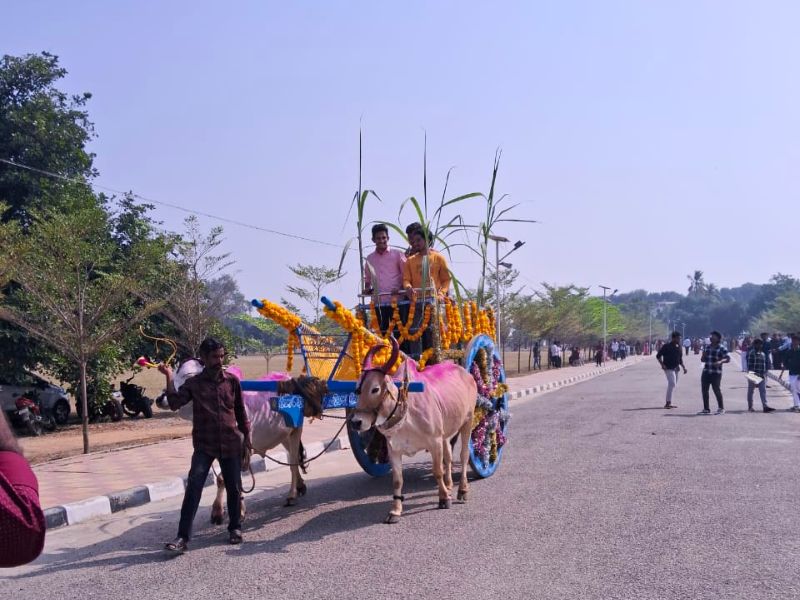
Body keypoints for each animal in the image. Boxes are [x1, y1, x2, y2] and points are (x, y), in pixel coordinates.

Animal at [350, 338, 476, 524]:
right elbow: (397, 480)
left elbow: (437, 471)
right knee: (448, 458)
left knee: (464, 455)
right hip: (446, 432)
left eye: (375, 389)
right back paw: (449, 486)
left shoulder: (434, 442)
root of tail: (466, 374)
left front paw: (443, 499)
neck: (406, 416)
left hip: (468, 420)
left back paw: (462, 490)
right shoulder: (394, 450)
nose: (356, 422)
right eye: (357, 389)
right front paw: (395, 511)